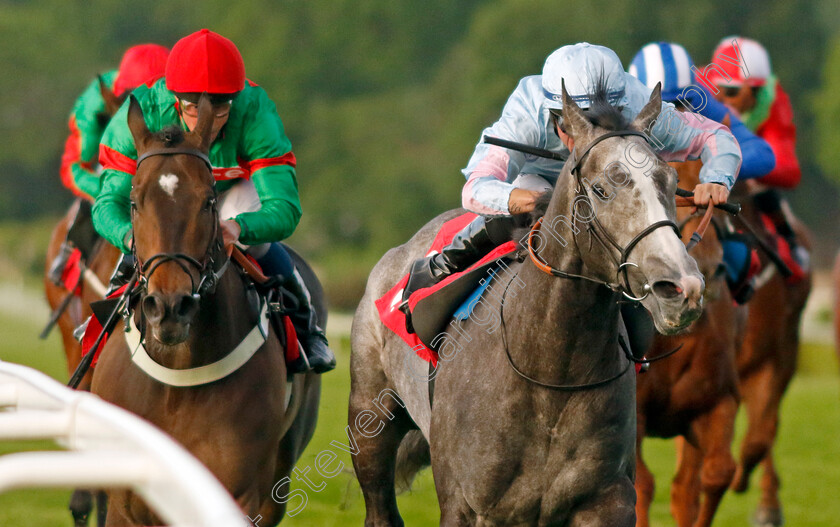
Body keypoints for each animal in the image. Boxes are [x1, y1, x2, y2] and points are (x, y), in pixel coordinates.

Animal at [352, 83, 704, 527]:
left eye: (671, 181)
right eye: (602, 189)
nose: (681, 288)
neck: (551, 370)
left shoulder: (607, 500)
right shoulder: (466, 505)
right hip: (370, 420)